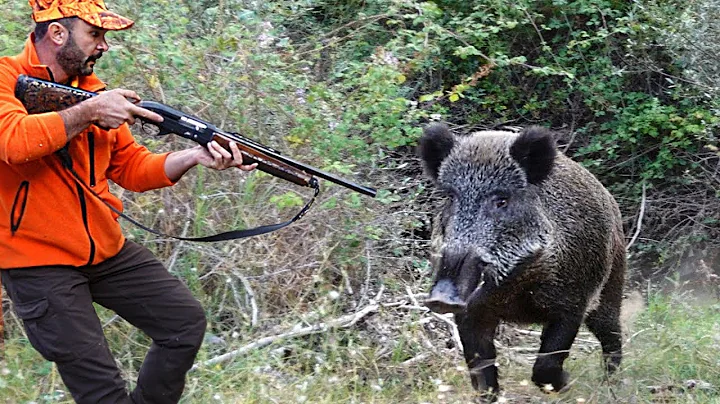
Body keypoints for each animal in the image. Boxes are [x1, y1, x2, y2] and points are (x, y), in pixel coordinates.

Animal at [419, 123, 626, 397]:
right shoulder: (471, 312)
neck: (516, 289)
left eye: (501, 200)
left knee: (612, 335)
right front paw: (491, 394)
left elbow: (547, 362)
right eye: (451, 197)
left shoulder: (574, 302)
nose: (440, 298)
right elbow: (481, 371)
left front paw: (565, 384)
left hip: (611, 285)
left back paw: (612, 384)